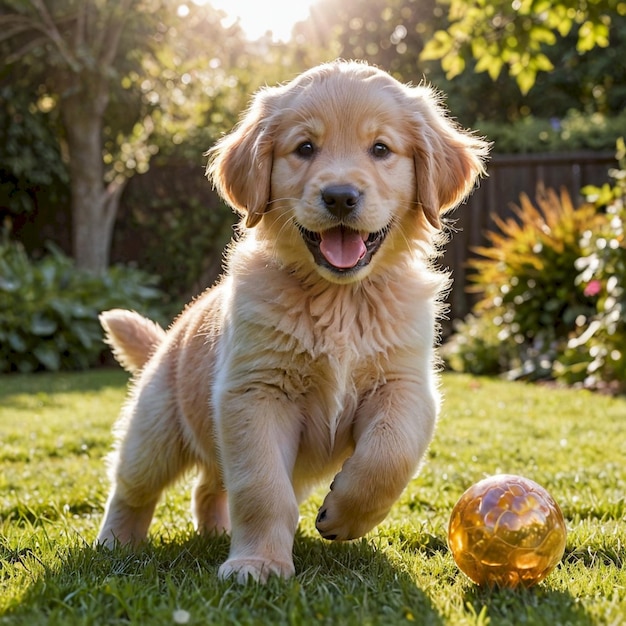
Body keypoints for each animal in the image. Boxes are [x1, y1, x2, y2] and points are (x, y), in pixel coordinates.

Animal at [96, 58, 488, 580]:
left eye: (380, 149)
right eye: (305, 148)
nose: (340, 196)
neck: (340, 300)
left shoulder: (404, 386)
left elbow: (389, 457)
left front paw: (343, 514)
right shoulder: (256, 392)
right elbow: (261, 488)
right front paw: (257, 562)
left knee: (209, 485)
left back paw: (215, 532)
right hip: (155, 429)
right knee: (133, 487)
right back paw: (116, 543)